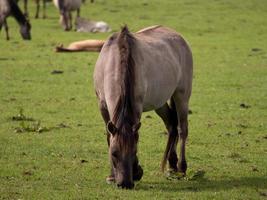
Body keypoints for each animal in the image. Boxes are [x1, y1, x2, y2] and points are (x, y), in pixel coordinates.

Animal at [93, 25, 193, 189]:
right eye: (114, 153)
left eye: (134, 152)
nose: (125, 184)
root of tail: (178, 36)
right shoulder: (102, 106)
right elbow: (109, 137)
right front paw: (111, 176)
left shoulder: (137, 107)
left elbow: (136, 136)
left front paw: (137, 171)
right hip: (160, 102)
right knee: (171, 125)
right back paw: (171, 165)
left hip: (182, 96)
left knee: (182, 129)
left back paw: (181, 167)